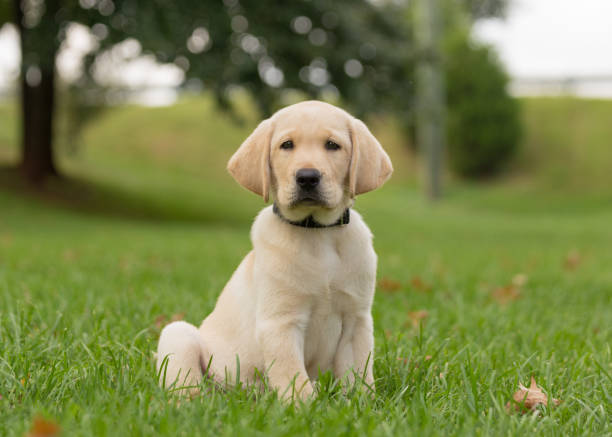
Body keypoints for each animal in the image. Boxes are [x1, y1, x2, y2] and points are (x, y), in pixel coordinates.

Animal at [155, 99, 390, 398]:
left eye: (332, 145)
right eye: (286, 145)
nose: (307, 177)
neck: (317, 233)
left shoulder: (356, 320)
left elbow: (358, 374)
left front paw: (362, 403)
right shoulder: (280, 323)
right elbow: (293, 377)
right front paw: (303, 406)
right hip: (179, 334)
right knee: (187, 384)